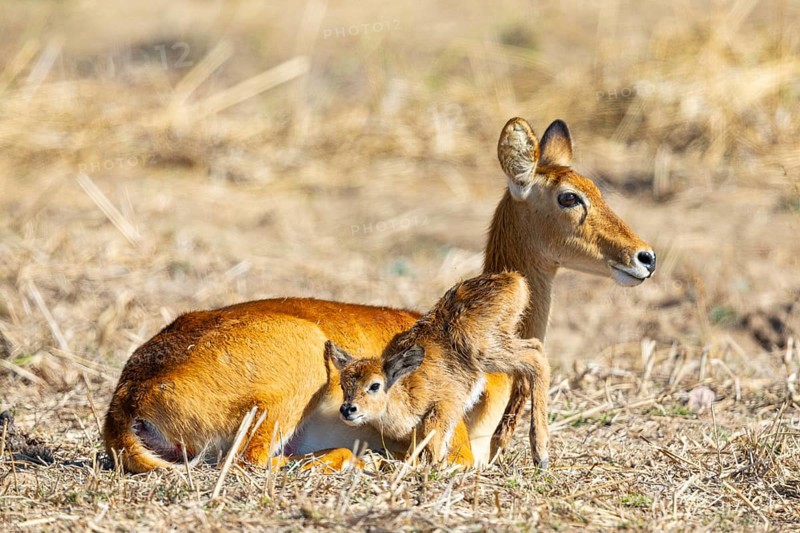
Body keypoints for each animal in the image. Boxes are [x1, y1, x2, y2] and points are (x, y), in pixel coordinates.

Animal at [324, 272, 550, 465]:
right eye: (342, 384)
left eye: (374, 385)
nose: (348, 409)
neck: (405, 394)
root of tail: (513, 278)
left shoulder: (443, 410)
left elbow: (434, 452)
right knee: (537, 347)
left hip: (487, 351)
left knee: (536, 357)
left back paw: (541, 456)